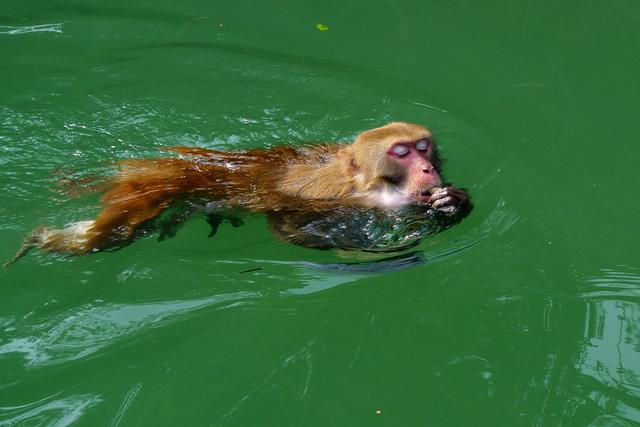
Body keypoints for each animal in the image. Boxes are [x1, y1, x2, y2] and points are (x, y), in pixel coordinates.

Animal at [2, 122, 468, 266]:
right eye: (401, 153)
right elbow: (292, 231)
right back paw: (42, 238)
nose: (427, 168)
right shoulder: (328, 201)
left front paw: (452, 202)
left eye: (423, 147)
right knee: (111, 236)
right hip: (146, 193)